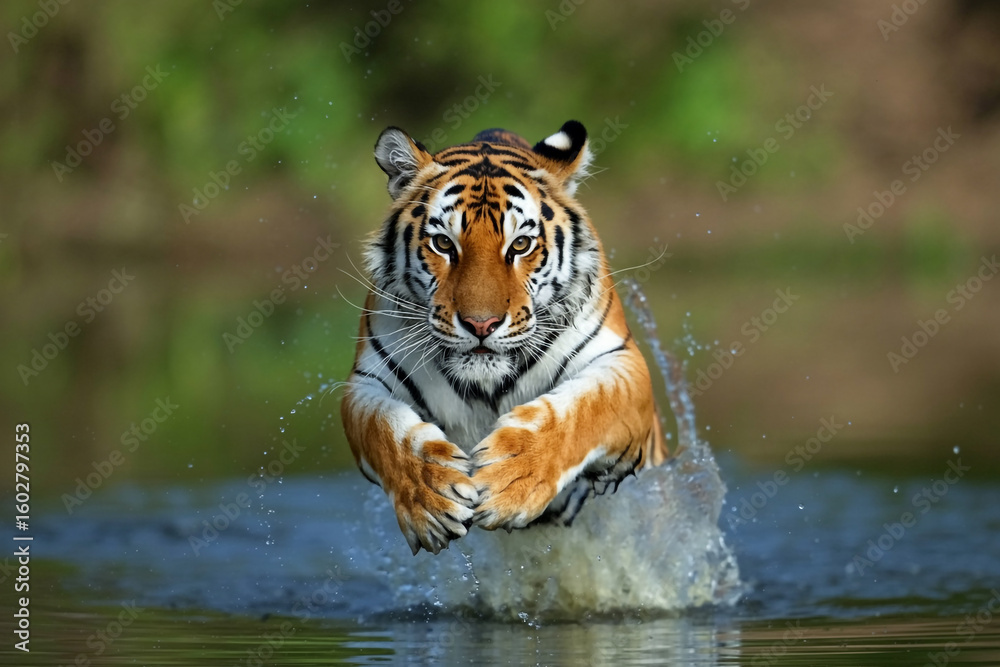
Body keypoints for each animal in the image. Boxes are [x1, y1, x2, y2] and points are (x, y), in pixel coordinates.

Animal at [341, 120, 669, 555]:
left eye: (521, 245)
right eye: (443, 243)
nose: (482, 324)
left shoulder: (621, 363)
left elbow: (582, 408)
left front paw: (511, 476)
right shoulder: (366, 383)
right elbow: (384, 428)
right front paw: (429, 496)